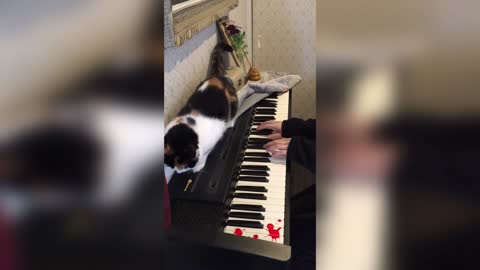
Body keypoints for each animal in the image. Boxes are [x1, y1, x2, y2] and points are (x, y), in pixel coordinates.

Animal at [165, 42, 238, 173]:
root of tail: (216, 77)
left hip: (233, 100)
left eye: (189, 163)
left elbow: (205, 154)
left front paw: (199, 167)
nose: (179, 171)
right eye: (171, 164)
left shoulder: (213, 137)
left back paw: (230, 123)